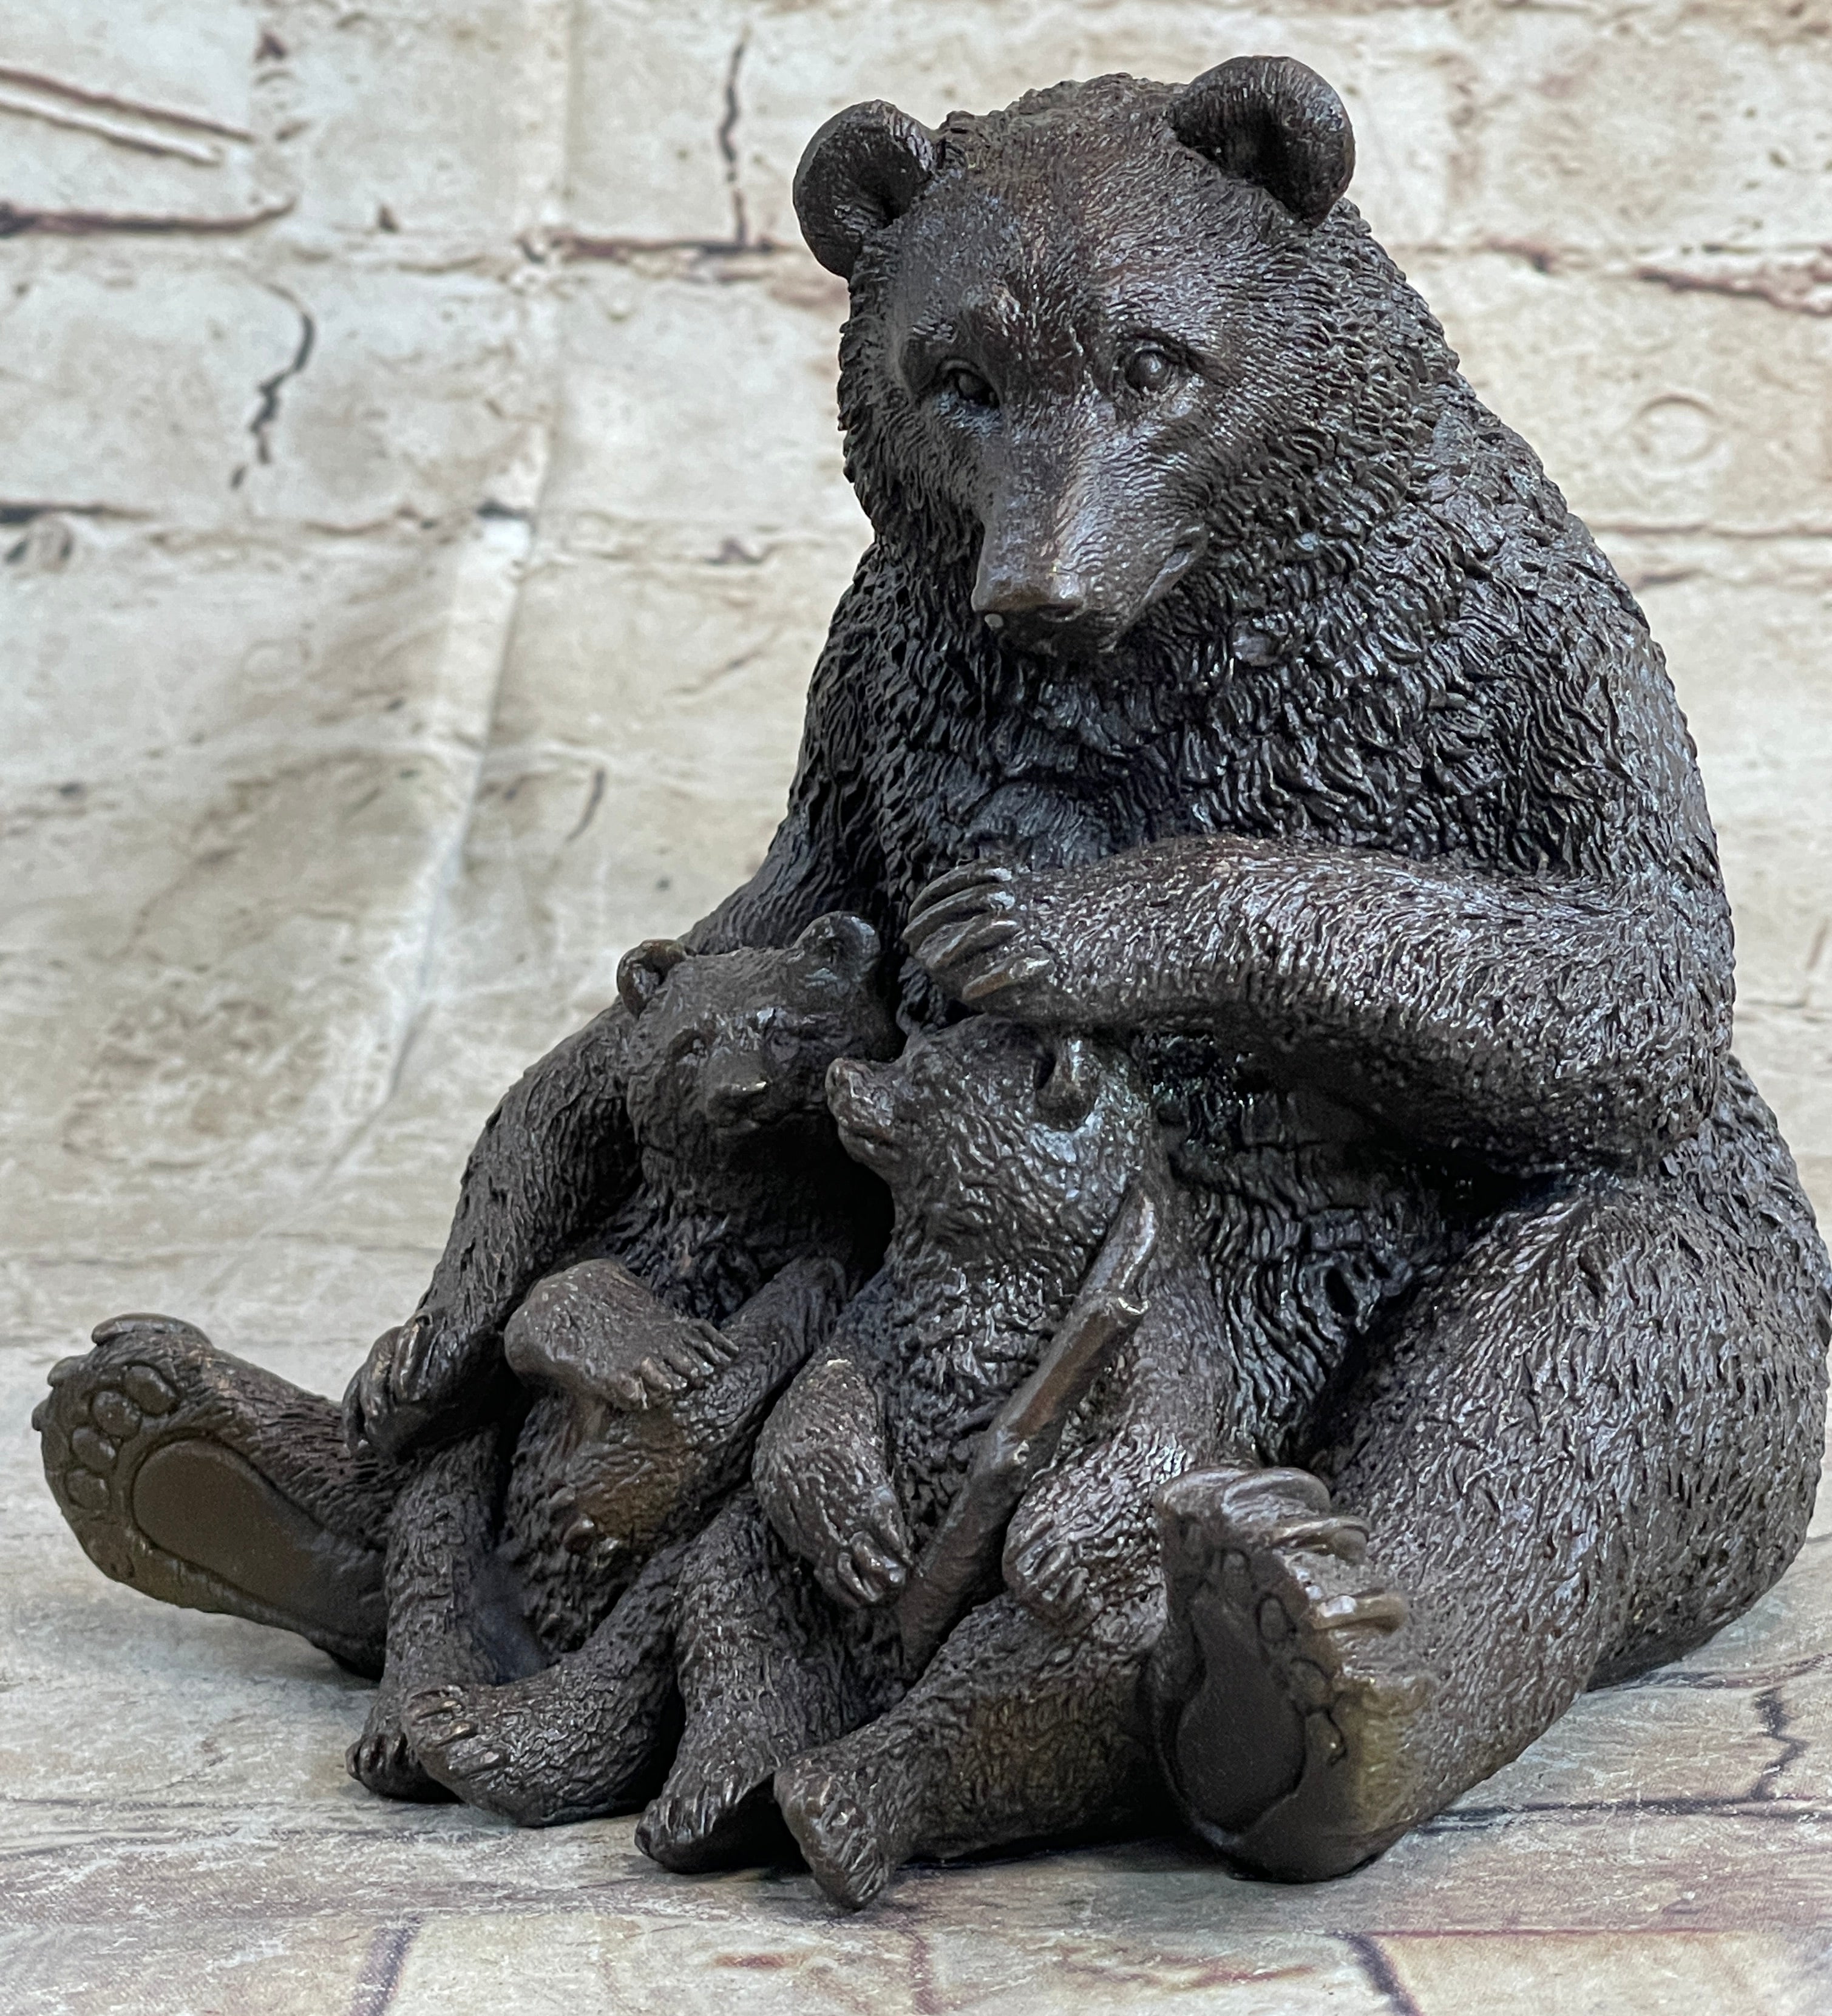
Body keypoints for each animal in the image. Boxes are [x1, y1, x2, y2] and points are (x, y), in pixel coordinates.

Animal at [36, 914, 899, 1823]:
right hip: (461, 1495)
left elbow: (782, 1347)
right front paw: (648, 1350)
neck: (723, 1228)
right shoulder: (616, 1245)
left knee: (658, 1598)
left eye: (787, 1028)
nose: (743, 1094)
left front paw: (649, 1442)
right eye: (693, 1042)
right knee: (436, 1521)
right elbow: (535, 1308)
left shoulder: (827, 1251)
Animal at [634, 1012, 1235, 1900]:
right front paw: (862, 1539)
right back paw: (713, 1797)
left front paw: (1047, 1539)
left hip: (1116, 1625)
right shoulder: (879, 1314)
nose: (843, 1071)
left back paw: (836, 1810)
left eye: (923, 1072)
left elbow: (1157, 1437)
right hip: (790, 1601)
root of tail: (874, 1681)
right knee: (736, 1597)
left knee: (1026, 1671)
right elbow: (815, 1402)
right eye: (908, 1048)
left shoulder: (1157, 1322)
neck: (991, 1260)